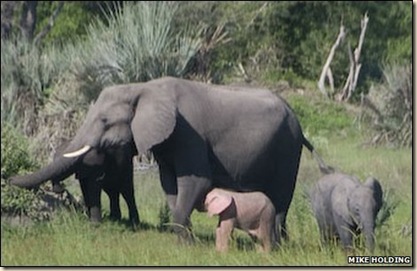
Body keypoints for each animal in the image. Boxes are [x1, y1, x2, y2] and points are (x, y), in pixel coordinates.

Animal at [9, 77, 332, 244]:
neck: (143, 87)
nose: (9, 177)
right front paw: (185, 239)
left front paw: (186, 241)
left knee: (281, 195)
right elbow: (169, 185)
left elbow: (195, 181)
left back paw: (277, 244)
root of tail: (298, 121)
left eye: (104, 121)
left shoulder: (189, 134)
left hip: (287, 147)